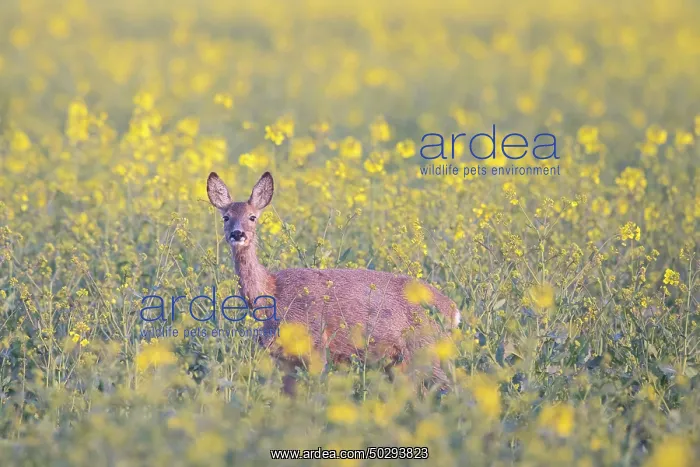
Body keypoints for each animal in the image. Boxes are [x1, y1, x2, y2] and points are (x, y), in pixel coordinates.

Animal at [206, 171, 461, 395]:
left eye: (253, 217)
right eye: (226, 217)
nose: (237, 234)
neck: (273, 292)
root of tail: (453, 310)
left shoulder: (317, 346)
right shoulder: (284, 358)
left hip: (424, 347)